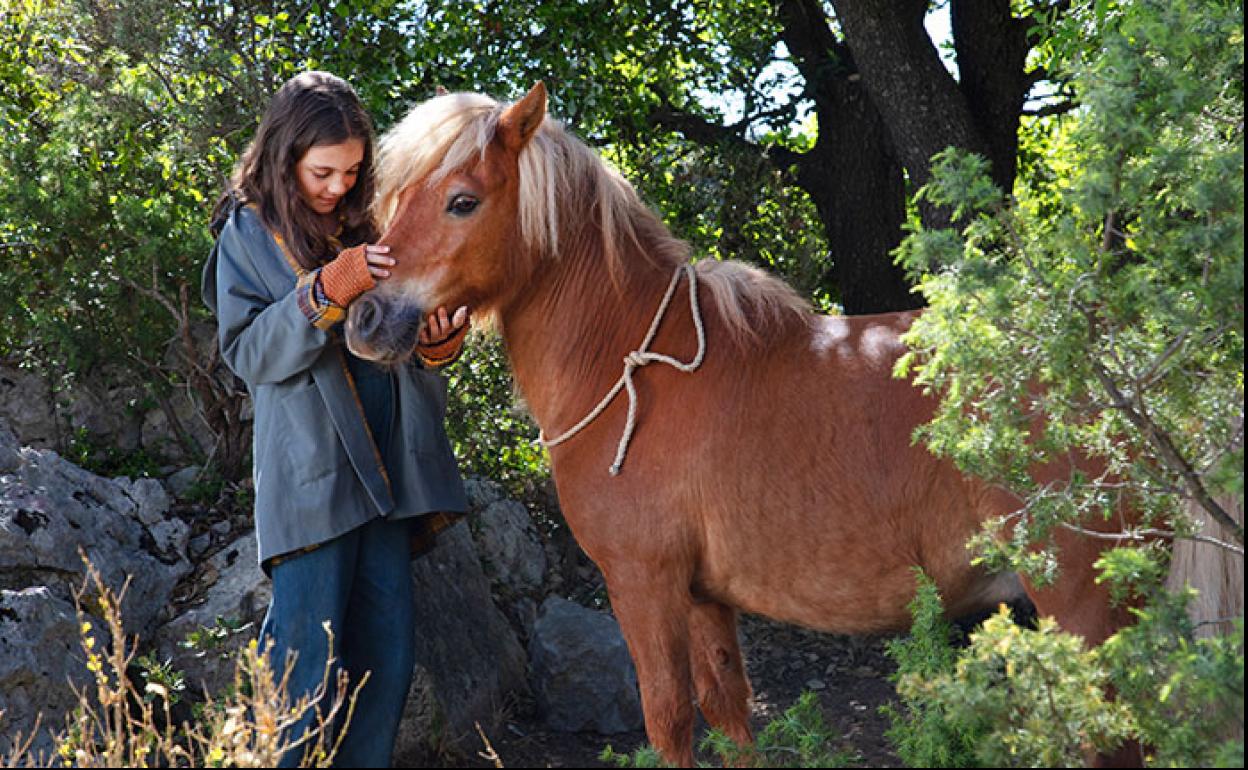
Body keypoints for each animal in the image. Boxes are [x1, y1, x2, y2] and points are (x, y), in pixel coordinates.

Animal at [349, 82, 1143, 763]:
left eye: (461, 201)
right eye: (400, 195)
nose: (365, 317)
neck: (632, 365)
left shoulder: (644, 584)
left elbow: (669, 718)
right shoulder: (705, 600)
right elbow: (728, 710)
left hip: (1086, 611)